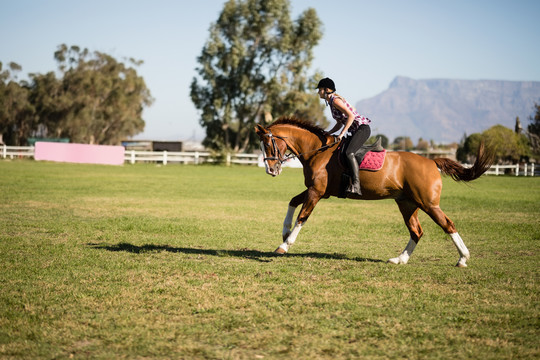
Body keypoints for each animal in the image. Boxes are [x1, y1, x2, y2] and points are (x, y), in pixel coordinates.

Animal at [255, 116, 496, 268]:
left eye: (269, 144)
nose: (271, 170)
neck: (318, 151)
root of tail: (431, 161)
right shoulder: (316, 190)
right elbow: (292, 202)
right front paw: (285, 231)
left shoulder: (317, 192)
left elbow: (302, 216)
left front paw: (284, 245)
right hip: (407, 203)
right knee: (416, 232)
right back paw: (399, 260)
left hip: (428, 203)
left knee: (448, 225)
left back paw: (463, 259)